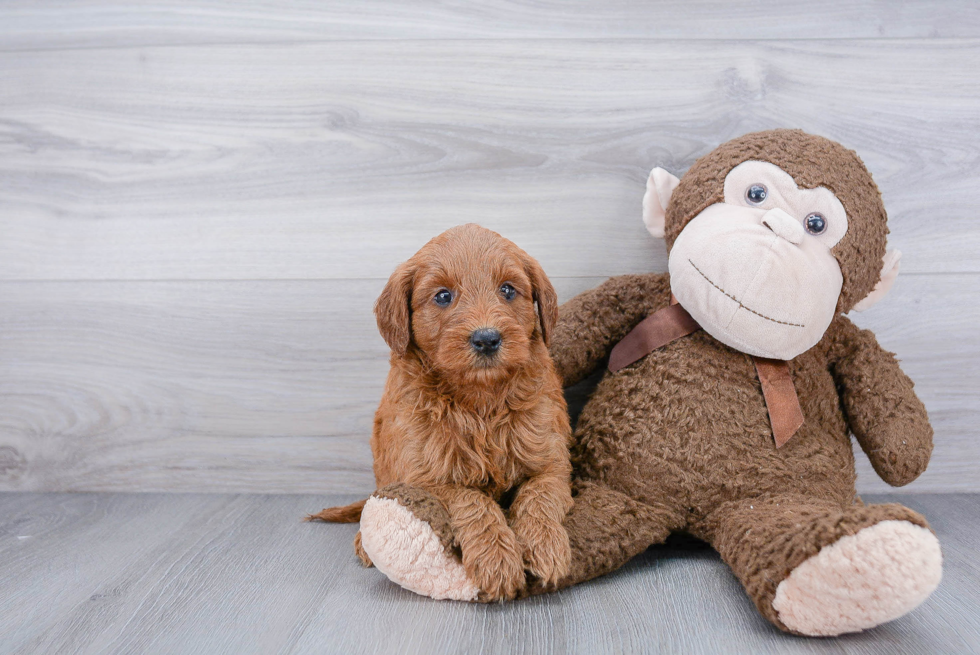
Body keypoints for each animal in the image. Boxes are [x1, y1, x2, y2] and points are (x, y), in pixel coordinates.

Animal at [312, 224, 576, 600]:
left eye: (508, 290)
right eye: (442, 296)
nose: (486, 339)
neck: (481, 401)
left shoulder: (551, 464)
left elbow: (538, 497)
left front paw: (545, 545)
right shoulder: (425, 478)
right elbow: (472, 500)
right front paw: (497, 559)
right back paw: (365, 541)